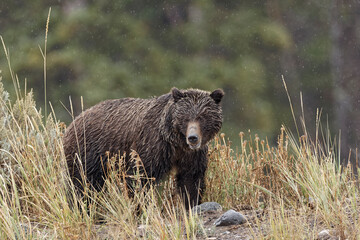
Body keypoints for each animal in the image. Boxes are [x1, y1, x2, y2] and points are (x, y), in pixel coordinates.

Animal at [63, 87, 224, 207]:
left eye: (202, 117)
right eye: (185, 118)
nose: (192, 138)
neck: (175, 142)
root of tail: (73, 122)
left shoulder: (191, 155)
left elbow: (191, 179)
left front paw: (191, 204)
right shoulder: (151, 145)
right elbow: (140, 177)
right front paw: (141, 207)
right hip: (87, 153)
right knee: (84, 184)